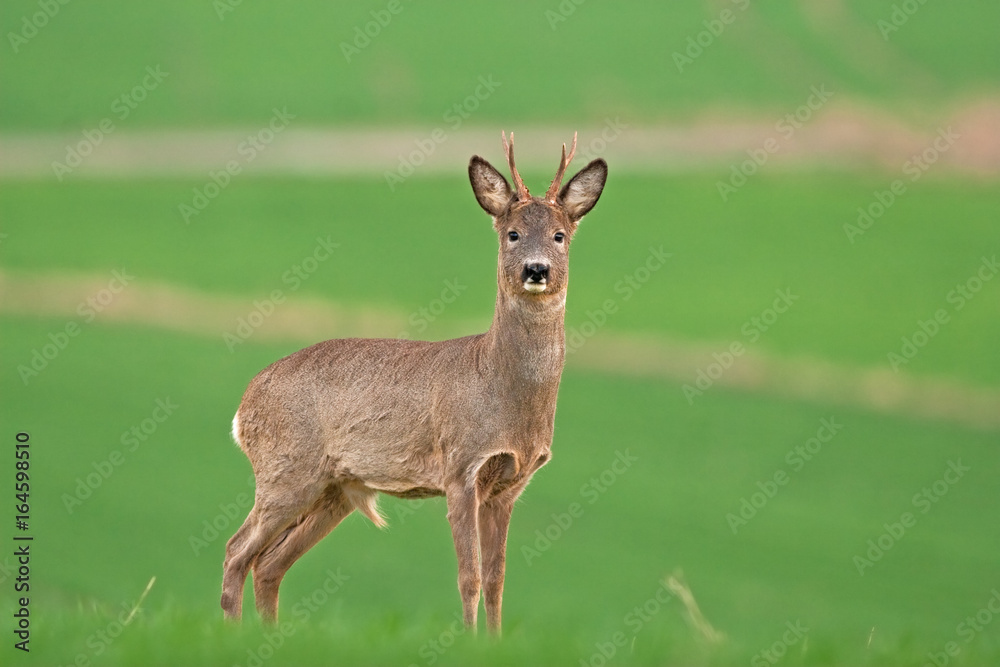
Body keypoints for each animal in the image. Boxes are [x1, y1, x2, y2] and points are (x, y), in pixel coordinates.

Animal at [222, 131, 608, 635]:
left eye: (560, 235)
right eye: (513, 234)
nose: (536, 269)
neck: (499, 386)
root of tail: (243, 406)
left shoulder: (509, 485)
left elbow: (497, 579)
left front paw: (495, 641)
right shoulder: (461, 466)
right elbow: (469, 576)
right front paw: (468, 640)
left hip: (333, 489)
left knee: (268, 564)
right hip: (286, 469)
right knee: (236, 551)